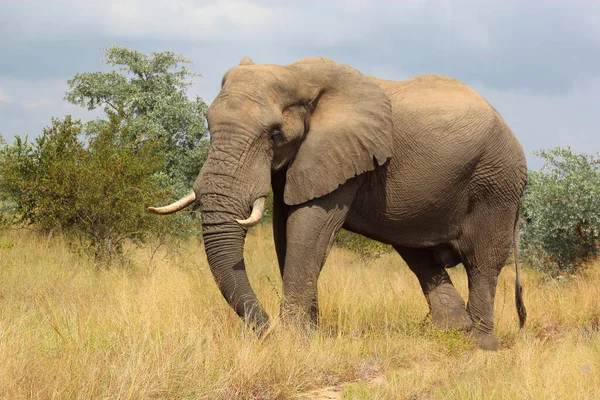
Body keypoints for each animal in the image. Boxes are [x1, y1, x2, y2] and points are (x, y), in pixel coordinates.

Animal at [149, 55, 524, 350]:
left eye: (275, 135)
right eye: (209, 125)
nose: (267, 329)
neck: (296, 75)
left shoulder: (343, 153)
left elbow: (308, 229)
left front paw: (293, 341)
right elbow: (285, 232)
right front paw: (309, 335)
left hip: (496, 182)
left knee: (482, 262)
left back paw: (480, 345)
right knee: (417, 254)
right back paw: (453, 331)